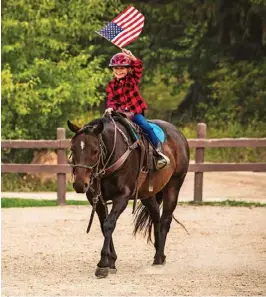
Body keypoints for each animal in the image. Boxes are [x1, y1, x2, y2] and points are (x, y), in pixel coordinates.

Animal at [67, 114, 190, 278]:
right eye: (72, 149)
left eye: (94, 150)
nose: (80, 184)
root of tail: (179, 135)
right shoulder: (97, 200)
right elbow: (103, 225)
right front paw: (111, 262)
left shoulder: (122, 197)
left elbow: (109, 224)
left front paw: (103, 264)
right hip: (147, 195)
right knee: (156, 217)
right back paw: (159, 255)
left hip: (173, 186)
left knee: (165, 221)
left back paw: (158, 259)